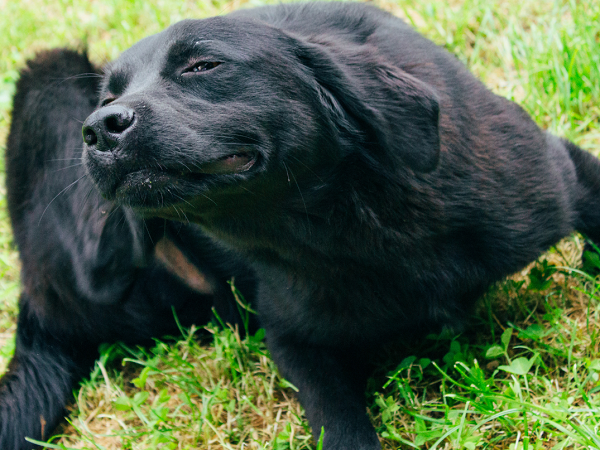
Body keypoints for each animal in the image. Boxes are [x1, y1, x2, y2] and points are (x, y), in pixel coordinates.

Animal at [79, 2, 600, 446]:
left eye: (203, 65)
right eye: (109, 95)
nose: (98, 129)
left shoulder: (558, 174)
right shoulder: (294, 340)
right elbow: (337, 420)